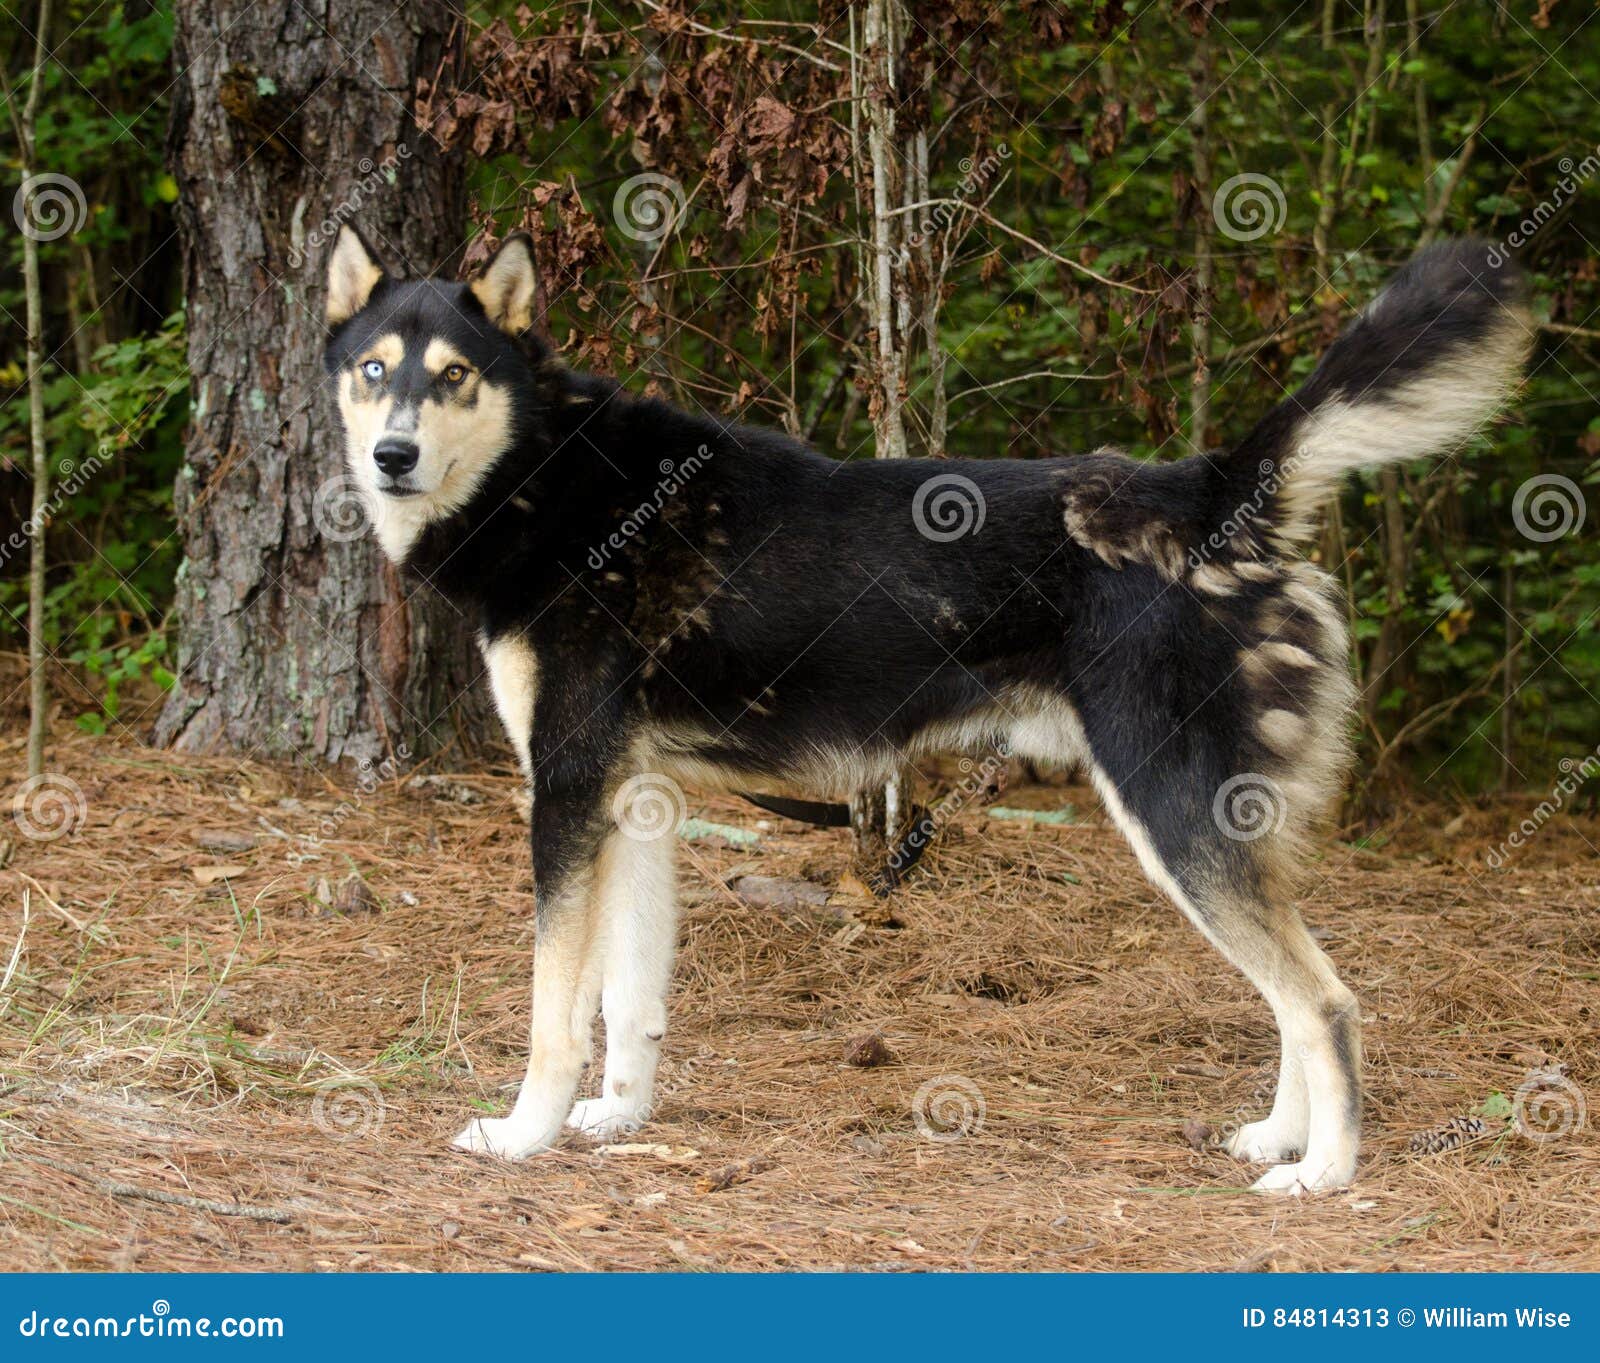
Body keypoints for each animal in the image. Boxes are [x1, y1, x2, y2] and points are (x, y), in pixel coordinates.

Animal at [321, 225, 1523, 1190]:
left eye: (455, 376)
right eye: (374, 369)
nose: (391, 455)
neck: (552, 478)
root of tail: (1211, 489)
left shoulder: (567, 791)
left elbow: (553, 1015)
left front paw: (525, 1134)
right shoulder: (637, 800)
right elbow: (629, 999)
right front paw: (617, 1120)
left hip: (1173, 811)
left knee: (1324, 1001)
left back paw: (1323, 1173)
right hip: (1211, 825)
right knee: (1289, 992)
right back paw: (1281, 1136)